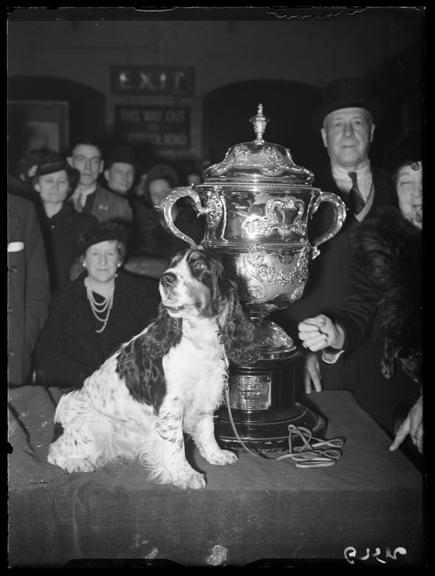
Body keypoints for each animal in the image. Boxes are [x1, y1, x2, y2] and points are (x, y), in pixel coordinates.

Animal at [48, 245, 258, 488]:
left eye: (199, 265)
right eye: (172, 264)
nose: (166, 278)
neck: (196, 338)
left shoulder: (207, 392)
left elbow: (207, 429)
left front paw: (216, 454)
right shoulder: (171, 405)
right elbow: (176, 443)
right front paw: (186, 475)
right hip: (96, 425)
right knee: (54, 452)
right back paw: (76, 463)